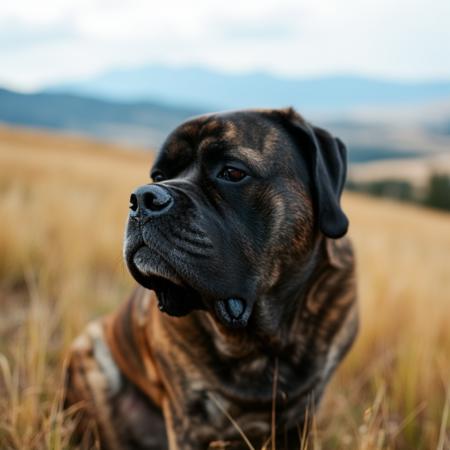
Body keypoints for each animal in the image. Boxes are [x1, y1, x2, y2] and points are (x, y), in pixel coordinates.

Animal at [64, 107, 358, 448]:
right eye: (158, 176)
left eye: (232, 172)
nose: (142, 198)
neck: (262, 342)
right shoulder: (189, 422)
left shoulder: (301, 417)